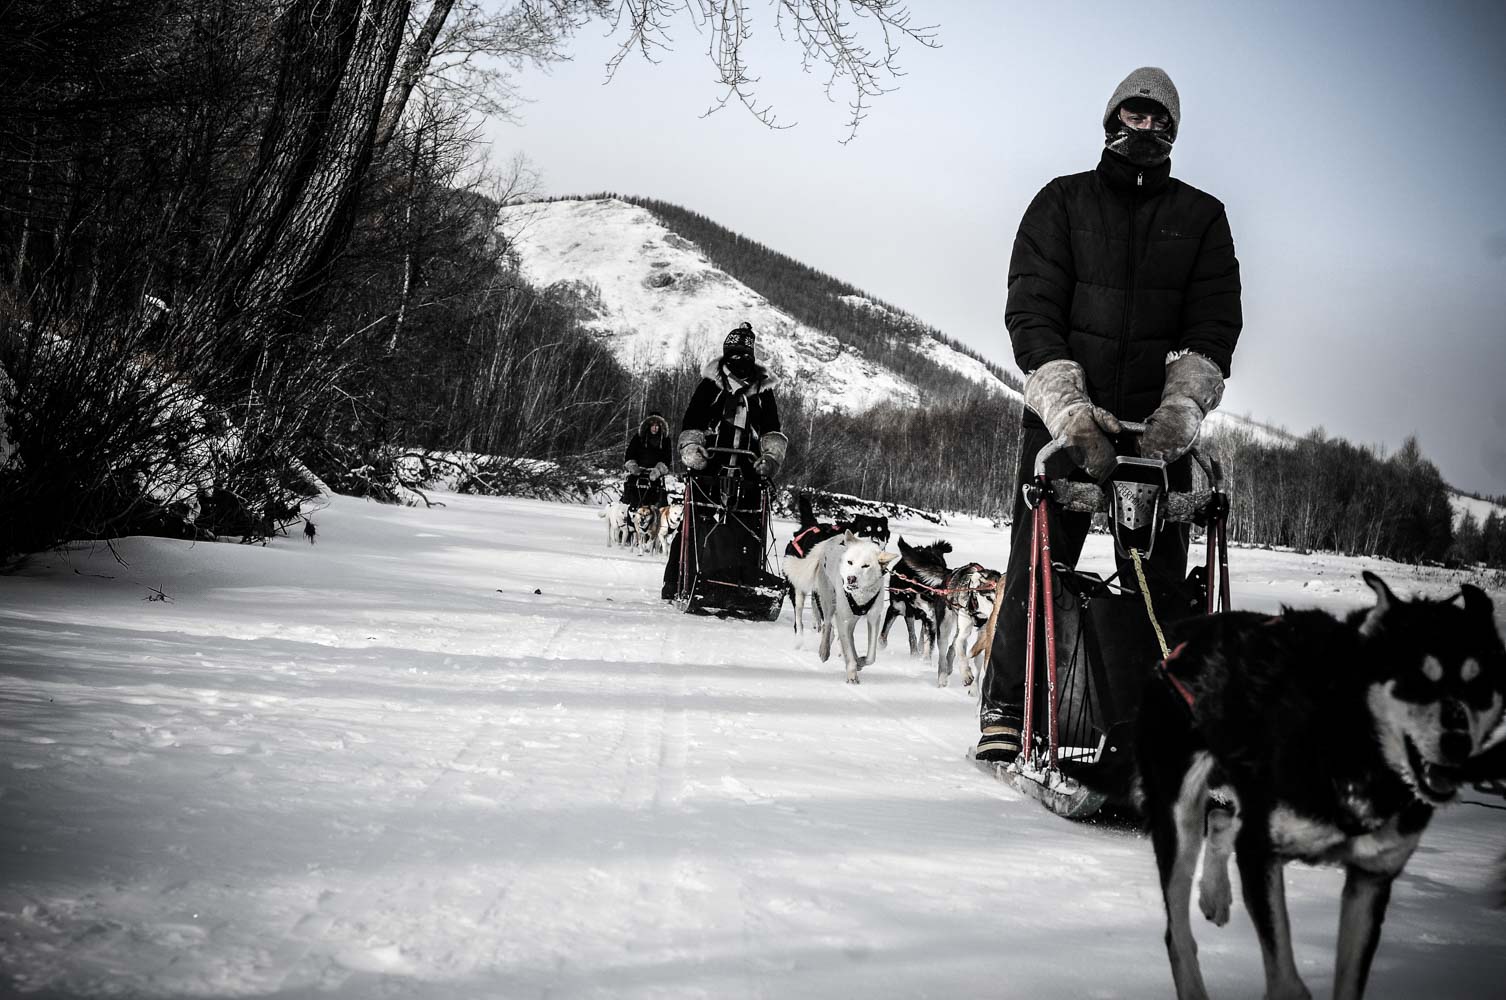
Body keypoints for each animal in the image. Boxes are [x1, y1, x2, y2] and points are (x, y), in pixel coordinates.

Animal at [819, 530, 897, 686]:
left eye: (865, 566)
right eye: (850, 562)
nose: (851, 578)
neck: (861, 594)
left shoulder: (874, 618)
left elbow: (871, 656)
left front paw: (861, 661)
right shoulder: (842, 619)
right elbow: (847, 651)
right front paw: (852, 674)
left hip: (854, 617)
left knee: (849, 635)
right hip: (829, 601)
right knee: (827, 624)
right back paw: (824, 651)